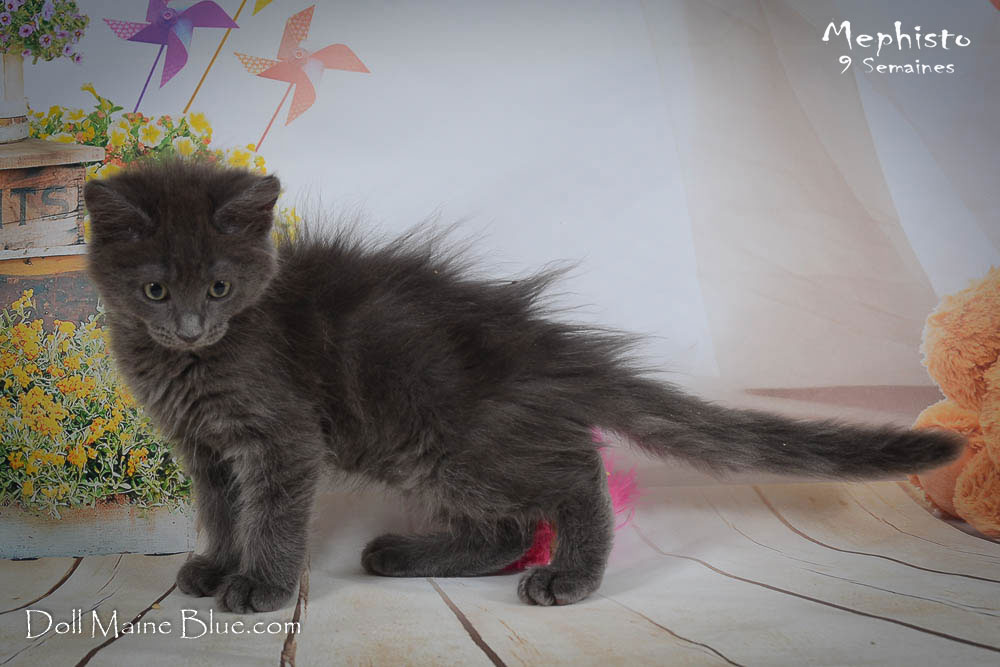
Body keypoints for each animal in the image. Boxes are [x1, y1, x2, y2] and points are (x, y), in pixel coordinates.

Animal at [83, 159, 962, 613]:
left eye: (221, 287)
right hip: (435, 452)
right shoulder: (206, 449)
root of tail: (544, 342)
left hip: (446, 440)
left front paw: (260, 584)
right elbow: (223, 510)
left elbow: (269, 515)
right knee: (508, 525)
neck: (198, 362)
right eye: (156, 290)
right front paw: (213, 564)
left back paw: (572, 574)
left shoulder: (281, 437)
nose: (190, 325)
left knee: (574, 473)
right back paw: (403, 553)